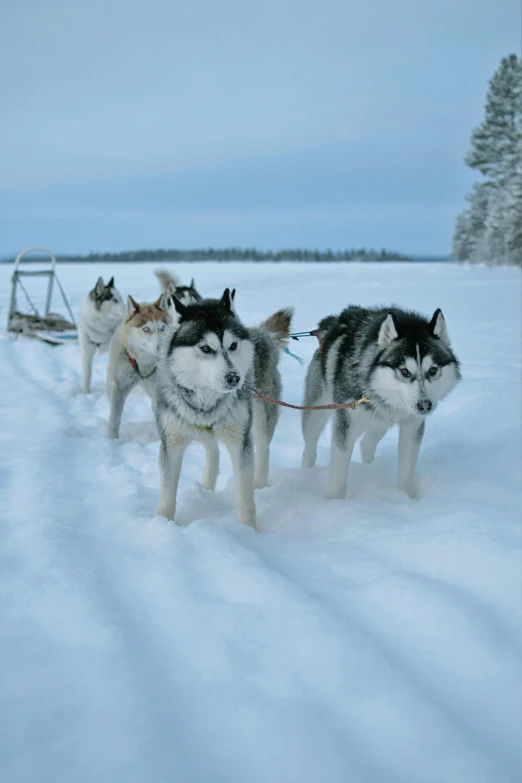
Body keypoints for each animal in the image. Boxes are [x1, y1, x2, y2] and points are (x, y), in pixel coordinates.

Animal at [105, 296, 169, 440]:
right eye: (146, 329)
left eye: (162, 328)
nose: (162, 348)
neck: (144, 362)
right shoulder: (120, 387)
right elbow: (114, 418)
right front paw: (112, 441)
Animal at [154, 290, 292, 528]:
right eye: (206, 348)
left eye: (233, 345)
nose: (234, 378)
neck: (207, 399)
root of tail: (261, 333)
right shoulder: (171, 443)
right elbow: (167, 495)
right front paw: (162, 523)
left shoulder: (240, 441)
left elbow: (245, 498)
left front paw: (248, 530)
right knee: (213, 451)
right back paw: (206, 487)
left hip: (260, 418)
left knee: (263, 450)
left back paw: (259, 485)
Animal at [300, 308, 460, 500]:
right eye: (405, 371)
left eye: (433, 370)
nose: (424, 405)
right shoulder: (346, 424)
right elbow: (339, 470)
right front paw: (334, 500)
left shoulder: (411, 426)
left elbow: (407, 467)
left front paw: (405, 495)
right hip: (316, 412)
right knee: (310, 444)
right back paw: (306, 471)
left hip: (379, 423)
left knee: (367, 444)